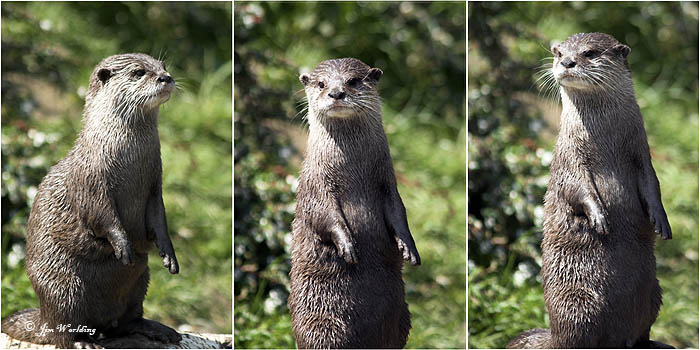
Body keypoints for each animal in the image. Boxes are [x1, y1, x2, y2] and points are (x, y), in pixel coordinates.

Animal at [1, 53, 180, 348]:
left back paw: (158, 330)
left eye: (163, 67)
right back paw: (82, 341)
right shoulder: (91, 181)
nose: (166, 78)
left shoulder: (155, 184)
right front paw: (123, 246)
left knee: (127, 320)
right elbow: (103, 216)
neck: (128, 157)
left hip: (140, 280)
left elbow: (159, 218)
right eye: (138, 72)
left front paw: (169, 254)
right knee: (61, 331)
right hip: (62, 288)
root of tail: (43, 315)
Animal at [286, 57, 418, 348]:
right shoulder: (316, 186)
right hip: (321, 327)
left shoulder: (387, 183)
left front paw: (409, 247)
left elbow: (398, 212)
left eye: (353, 81)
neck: (353, 171)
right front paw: (347, 245)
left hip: (403, 319)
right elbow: (324, 216)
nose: (336, 93)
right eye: (321, 83)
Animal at [506, 32, 676, 348]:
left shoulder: (641, 153)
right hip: (575, 303)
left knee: (642, 327)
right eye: (559, 52)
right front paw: (599, 218)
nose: (567, 62)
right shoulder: (569, 159)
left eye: (589, 52)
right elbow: (578, 188)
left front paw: (661, 221)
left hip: (654, 294)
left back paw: (648, 342)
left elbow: (652, 184)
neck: (607, 140)